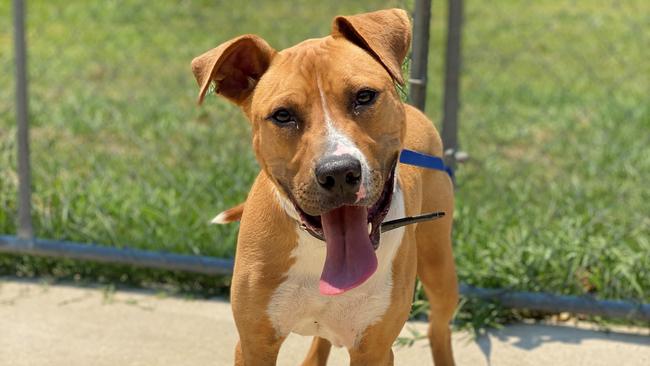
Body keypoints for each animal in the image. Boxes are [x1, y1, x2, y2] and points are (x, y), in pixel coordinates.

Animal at [191, 8, 456, 366]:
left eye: (364, 96)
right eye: (283, 115)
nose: (339, 172)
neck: (321, 249)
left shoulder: (374, 350)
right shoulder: (253, 344)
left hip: (440, 268)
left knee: (438, 327)